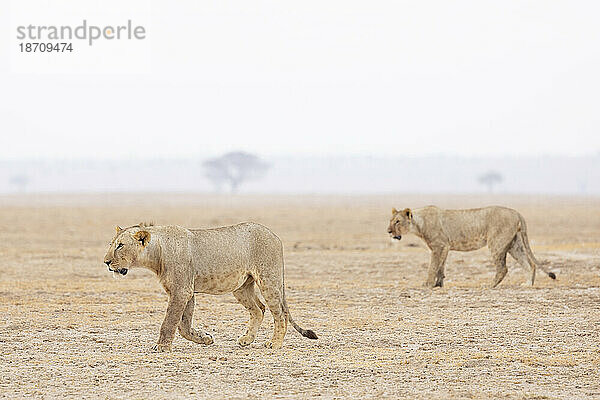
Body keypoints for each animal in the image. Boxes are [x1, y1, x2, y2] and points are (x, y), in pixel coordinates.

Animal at [103, 222, 318, 350]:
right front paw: (205, 338)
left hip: (268, 279)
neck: (157, 252)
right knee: (259, 309)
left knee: (280, 313)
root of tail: (274, 235)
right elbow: (183, 326)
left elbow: (169, 322)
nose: (106, 262)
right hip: (241, 287)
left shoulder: (181, 291)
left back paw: (274, 343)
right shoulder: (187, 291)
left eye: (120, 245)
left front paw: (162, 347)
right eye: (112, 244)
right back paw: (247, 339)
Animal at [386, 206, 556, 288]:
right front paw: (438, 284)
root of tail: (517, 212)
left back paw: (489, 285)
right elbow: (441, 267)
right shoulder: (444, 247)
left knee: (503, 268)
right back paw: (528, 284)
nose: (388, 231)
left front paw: (427, 284)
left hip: (497, 242)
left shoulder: (438, 246)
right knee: (530, 264)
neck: (418, 223)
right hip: (514, 244)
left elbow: (432, 267)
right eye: (391, 220)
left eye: (397, 221)